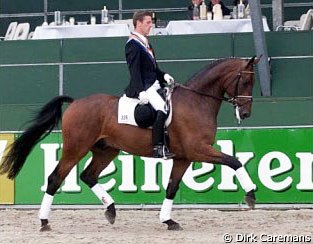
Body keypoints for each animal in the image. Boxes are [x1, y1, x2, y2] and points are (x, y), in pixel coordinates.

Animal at [0, 56, 258, 232]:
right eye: (246, 80)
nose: (246, 114)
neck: (197, 101)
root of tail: (75, 103)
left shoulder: (184, 157)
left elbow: (172, 188)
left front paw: (168, 220)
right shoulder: (199, 150)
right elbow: (234, 162)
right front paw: (251, 195)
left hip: (106, 150)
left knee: (88, 176)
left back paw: (111, 210)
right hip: (76, 148)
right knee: (56, 178)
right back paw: (44, 222)